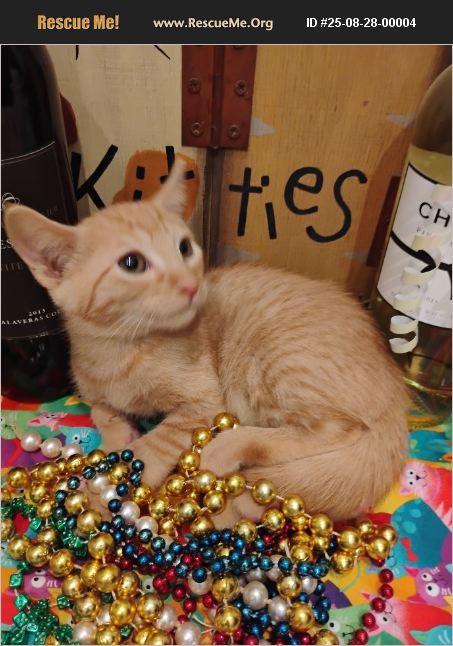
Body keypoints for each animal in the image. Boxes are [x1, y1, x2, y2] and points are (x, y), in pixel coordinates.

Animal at [4, 158, 408, 526]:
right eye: (132, 263)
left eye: (184, 248)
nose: (191, 284)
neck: (118, 350)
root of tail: (394, 387)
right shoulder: (91, 388)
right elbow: (102, 411)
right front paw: (118, 437)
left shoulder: (202, 402)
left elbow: (152, 446)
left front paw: (108, 489)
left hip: (276, 362)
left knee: (339, 429)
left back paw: (227, 448)